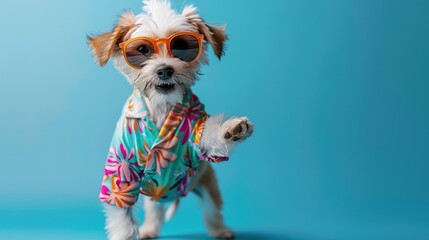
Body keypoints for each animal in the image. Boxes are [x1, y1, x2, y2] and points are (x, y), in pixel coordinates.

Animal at [88, 0, 252, 239]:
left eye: (182, 46)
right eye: (142, 50)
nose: (165, 70)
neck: (162, 107)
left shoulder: (195, 131)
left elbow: (210, 135)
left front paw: (231, 130)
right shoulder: (121, 168)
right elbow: (122, 216)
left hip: (206, 183)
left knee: (212, 211)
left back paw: (220, 230)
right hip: (153, 191)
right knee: (155, 210)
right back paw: (149, 229)